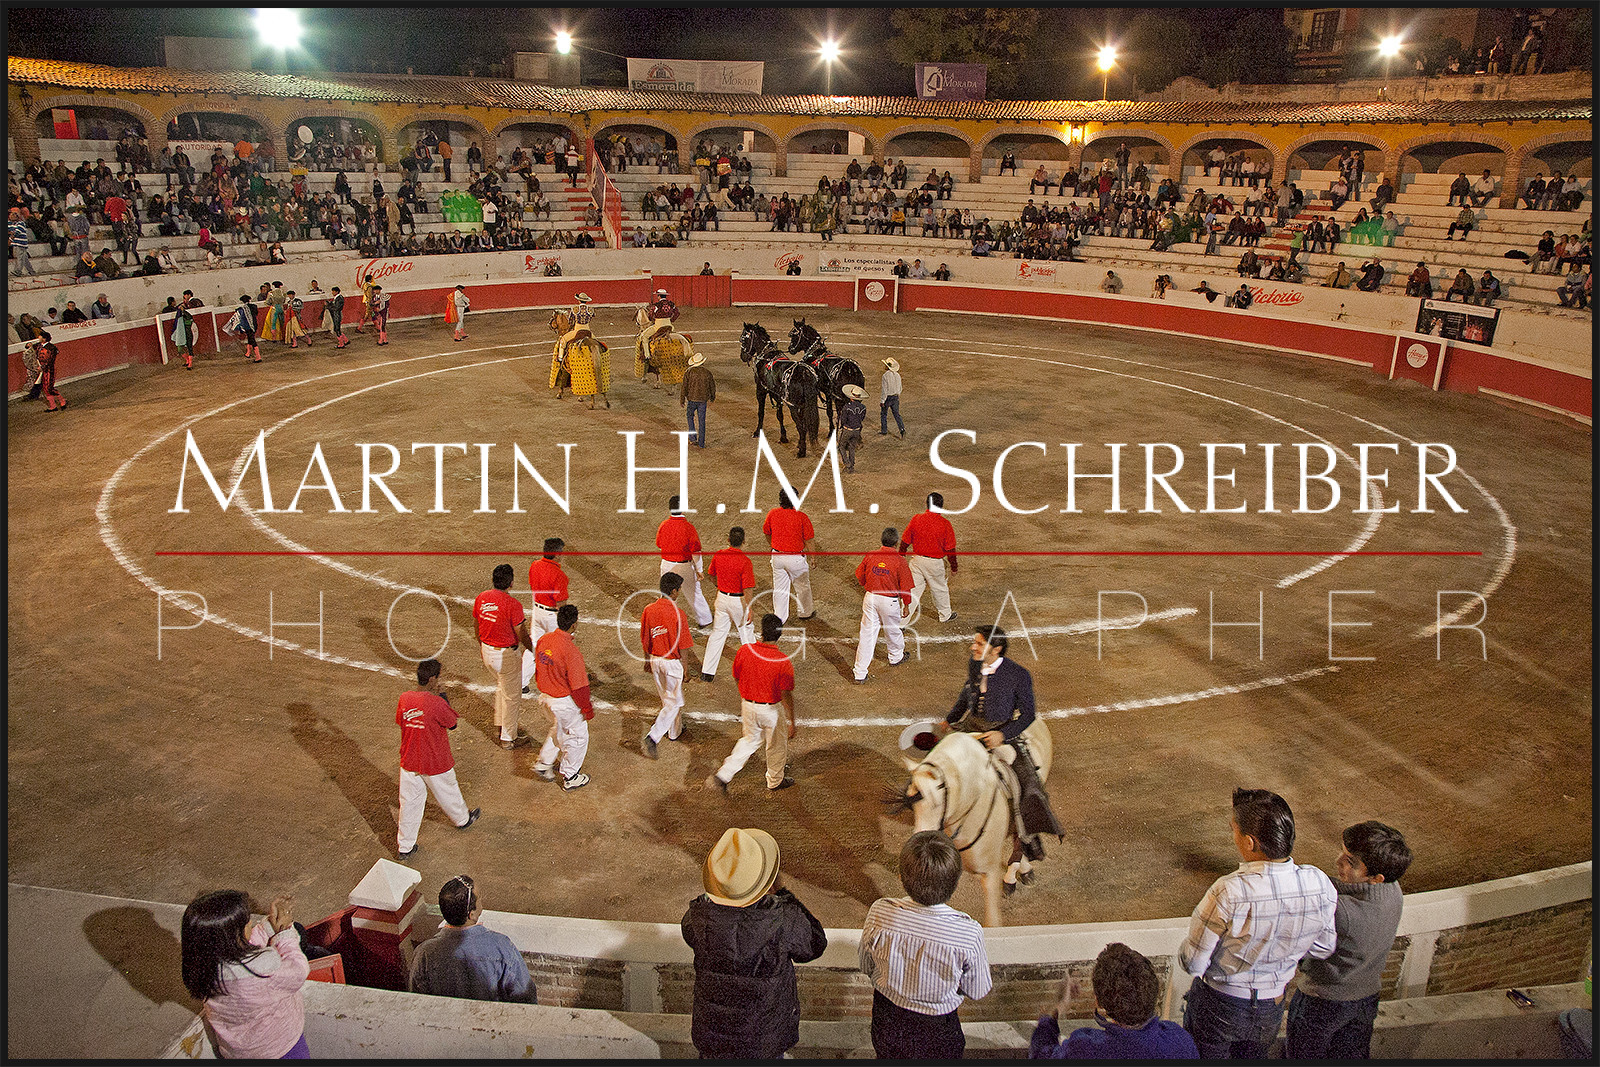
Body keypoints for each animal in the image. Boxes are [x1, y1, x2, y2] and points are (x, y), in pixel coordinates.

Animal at [739, 323, 820, 458]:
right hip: (804, 405)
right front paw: (783, 437)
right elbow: (780, 415)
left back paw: (801, 451)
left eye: (743, 339)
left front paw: (757, 432)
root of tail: (804, 373)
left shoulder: (761, 390)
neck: (766, 356)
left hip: (793, 406)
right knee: (805, 425)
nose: (743, 356)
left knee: (801, 426)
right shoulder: (777, 395)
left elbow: (761, 412)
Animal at [897, 722, 1054, 928]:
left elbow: (992, 919)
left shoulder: (990, 872)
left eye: (937, 803)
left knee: (1020, 839)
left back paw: (1013, 877)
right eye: (912, 804)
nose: (918, 845)